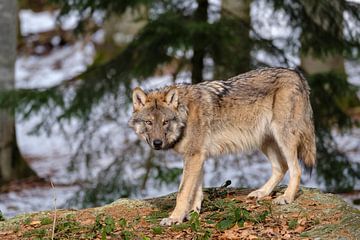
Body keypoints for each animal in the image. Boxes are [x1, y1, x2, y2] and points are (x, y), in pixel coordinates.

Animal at [129, 67, 316, 225]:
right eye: (149, 122)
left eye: (165, 122)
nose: (157, 143)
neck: (185, 114)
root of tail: (296, 74)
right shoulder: (197, 156)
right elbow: (196, 191)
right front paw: (193, 213)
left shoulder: (194, 156)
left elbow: (183, 192)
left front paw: (175, 218)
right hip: (264, 140)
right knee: (281, 167)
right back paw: (261, 193)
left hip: (282, 137)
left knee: (295, 169)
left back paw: (286, 197)